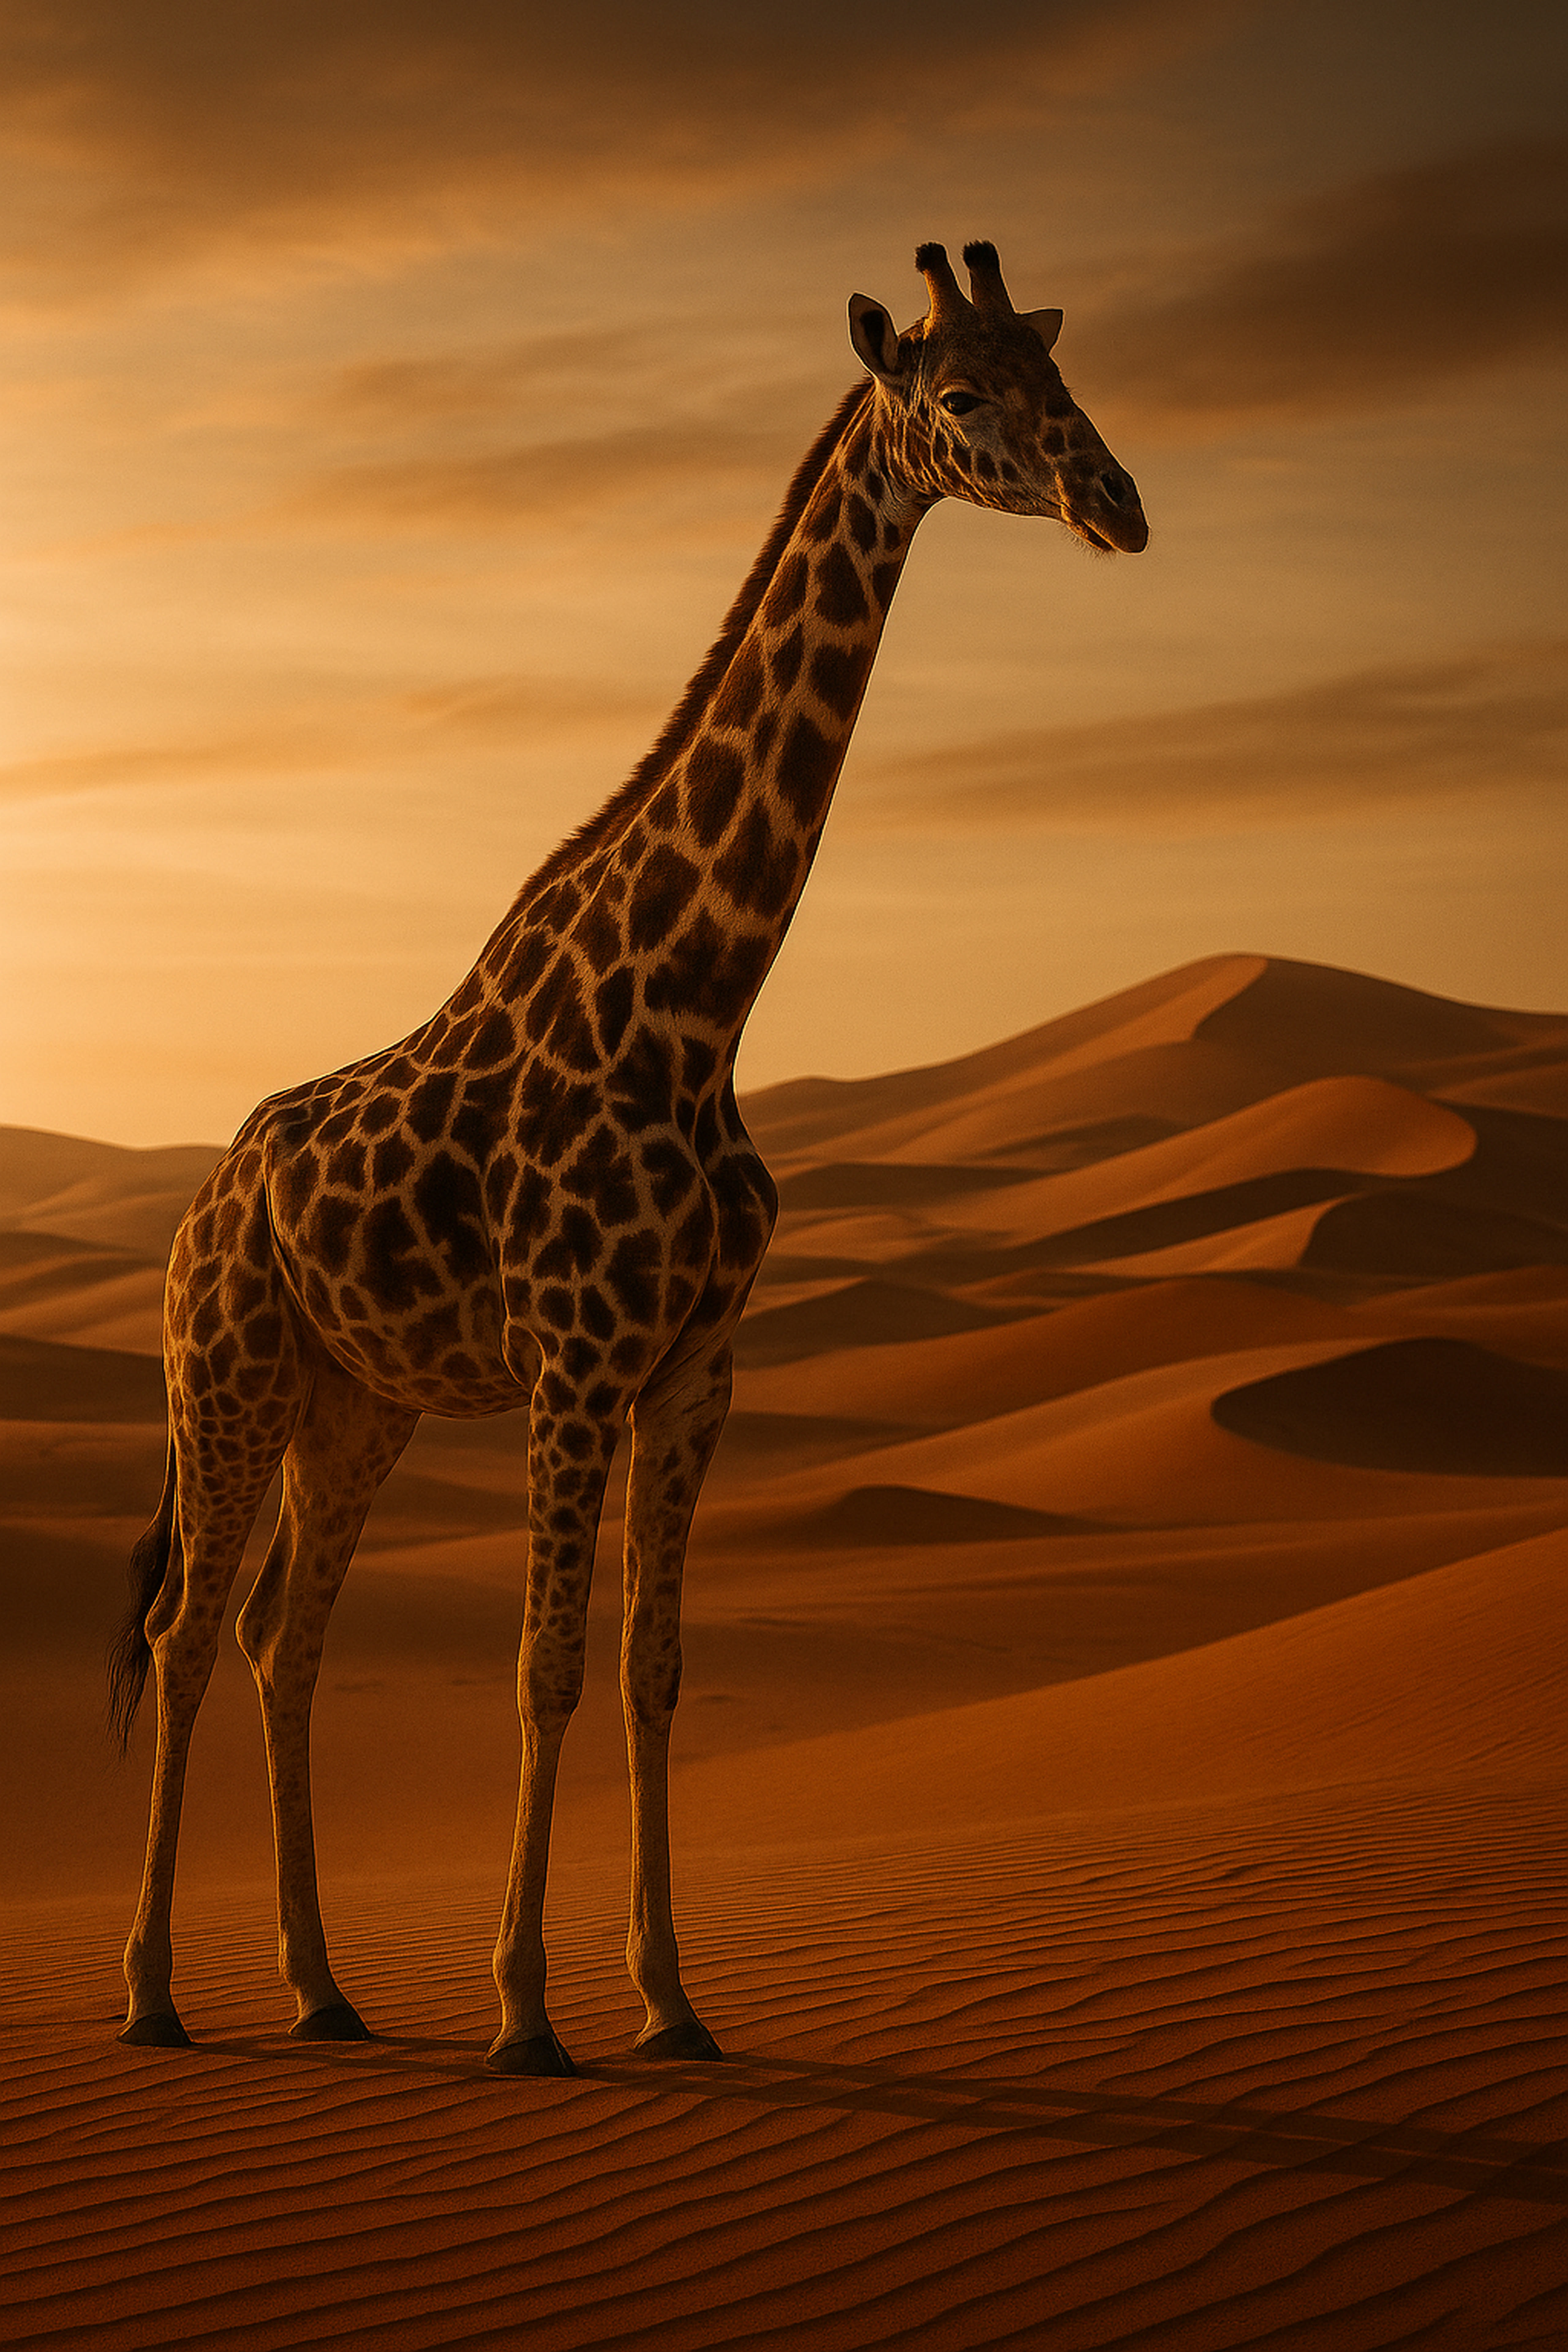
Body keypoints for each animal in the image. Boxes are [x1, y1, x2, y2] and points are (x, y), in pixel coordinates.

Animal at [108, 241, 1147, 2075]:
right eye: (963, 396)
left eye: (1061, 376)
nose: (1118, 500)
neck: (696, 1005)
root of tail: (197, 1208)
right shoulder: (576, 1364)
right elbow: (547, 1664)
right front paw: (525, 2011)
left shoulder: (693, 1372)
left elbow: (655, 1664)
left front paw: (671, 2001)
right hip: (220, 1377)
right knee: (180, 1630)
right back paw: (155, 1991)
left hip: (353, 1403)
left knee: (280, 1637)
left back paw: (322, 1987)